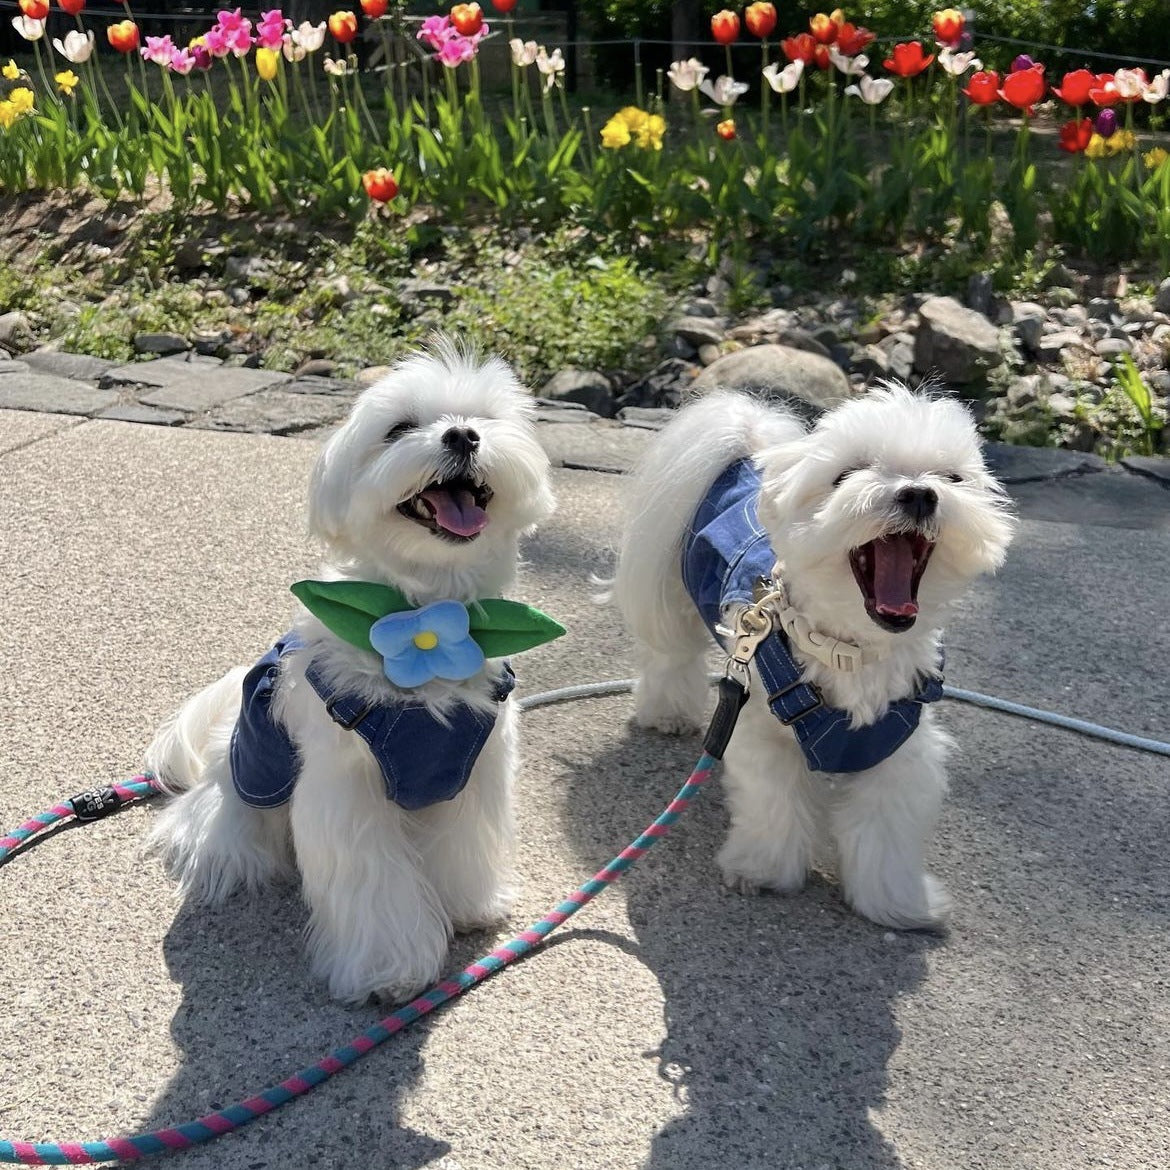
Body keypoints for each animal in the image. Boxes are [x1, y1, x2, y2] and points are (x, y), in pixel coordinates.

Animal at [145, 341, 556, 1006]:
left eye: (484, 419)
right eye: (399, 429)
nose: (463, 435)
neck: (424, 616)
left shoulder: (472, 766)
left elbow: (462, 844)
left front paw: (469, 905)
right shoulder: (346, 786)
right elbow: (374, 884)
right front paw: (390, 972)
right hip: (249, 780)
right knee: (219, 824)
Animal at [613, 386, 1015, 931]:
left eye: (952, 479)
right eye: (847, 474)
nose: (918, 494)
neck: (850, 649)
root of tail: (746, 449)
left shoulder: (900, 753)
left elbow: (887, 833)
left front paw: (897, 903)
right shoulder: (765, 738)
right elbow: (773, 806)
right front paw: (761, 871)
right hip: (673, 589)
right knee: (671, 654)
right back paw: (667, 713)